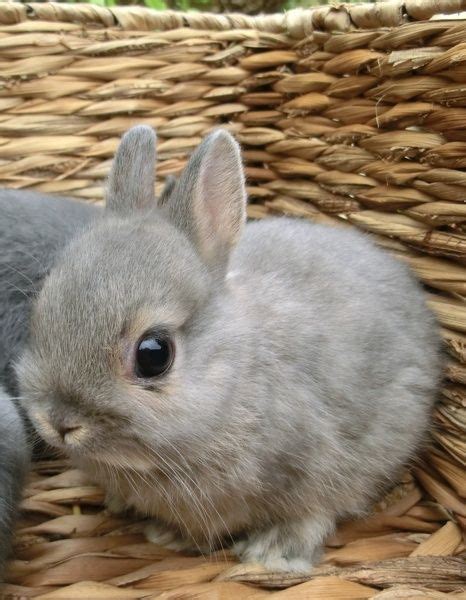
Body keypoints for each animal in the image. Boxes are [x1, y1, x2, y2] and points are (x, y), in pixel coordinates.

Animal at [4, 125, 440, 572]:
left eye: (154, 355)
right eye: (41, 308)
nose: (57, 422)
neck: (233, 382)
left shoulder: (325, 464)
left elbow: (316, 511)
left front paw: (271, 554)